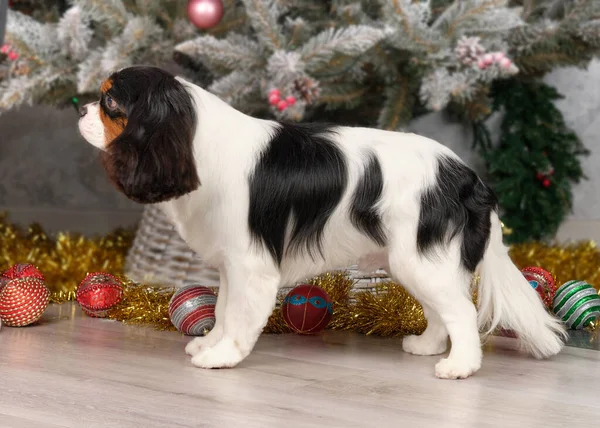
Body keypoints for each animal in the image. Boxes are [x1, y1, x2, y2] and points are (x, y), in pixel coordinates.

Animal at [77, 66, 564, 378]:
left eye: (109, 101)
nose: (79, 108)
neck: (192, 138)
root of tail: (467, 176)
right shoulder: (232, 263)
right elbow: (223, 309)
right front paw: (211, 342)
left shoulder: (252, 264)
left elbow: (240, 315)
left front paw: (223, 357)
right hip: (415, 262)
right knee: (443, 309)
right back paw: (426, 347)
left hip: (421, 259)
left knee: (461, 311)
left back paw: (459, 367)